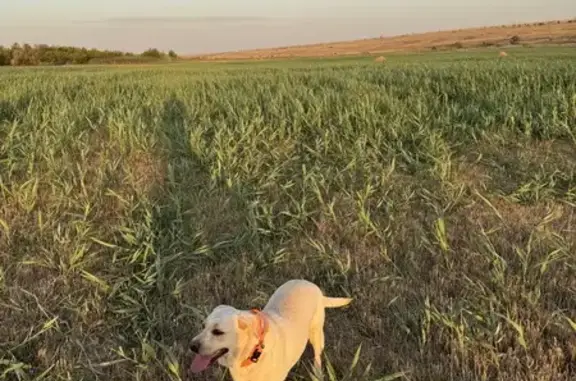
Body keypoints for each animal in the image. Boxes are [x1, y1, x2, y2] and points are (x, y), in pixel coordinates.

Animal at [187, 278, 354, 378]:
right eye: (203, 326)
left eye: (218, 332)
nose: (191, 346)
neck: (251, 353)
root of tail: (309, 284)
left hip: (316, 333)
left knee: (317, 355)